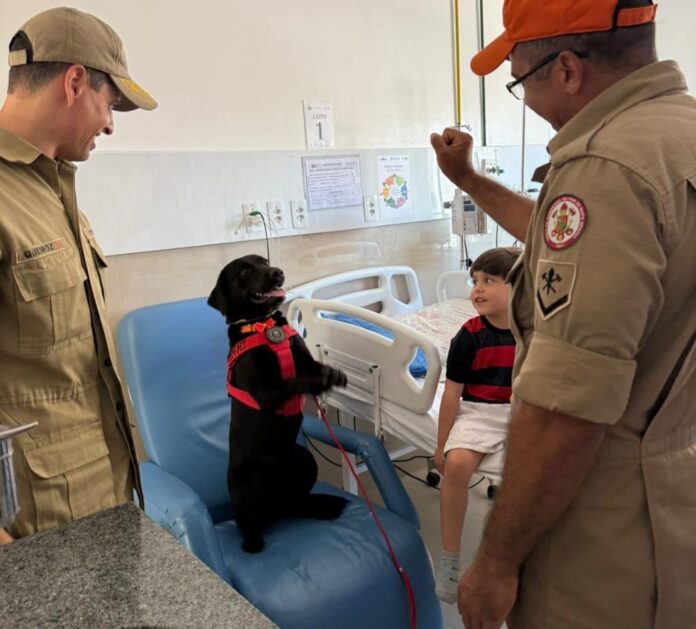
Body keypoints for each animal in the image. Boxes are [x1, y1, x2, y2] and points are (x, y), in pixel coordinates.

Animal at [207, 253, 348, 552]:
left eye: (264, 261)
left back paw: (323, 505)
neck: (264, 325)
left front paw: (334, 373)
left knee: (297, 502)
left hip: (305, 460)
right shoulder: (265, 392)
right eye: (244, 270)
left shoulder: (304, 358)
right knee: (247, 522)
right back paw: (253, 543)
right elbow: (295, 381)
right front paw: (323, 379)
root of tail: (275, 507)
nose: (277, 273)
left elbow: (312, 367)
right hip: (244, 484)